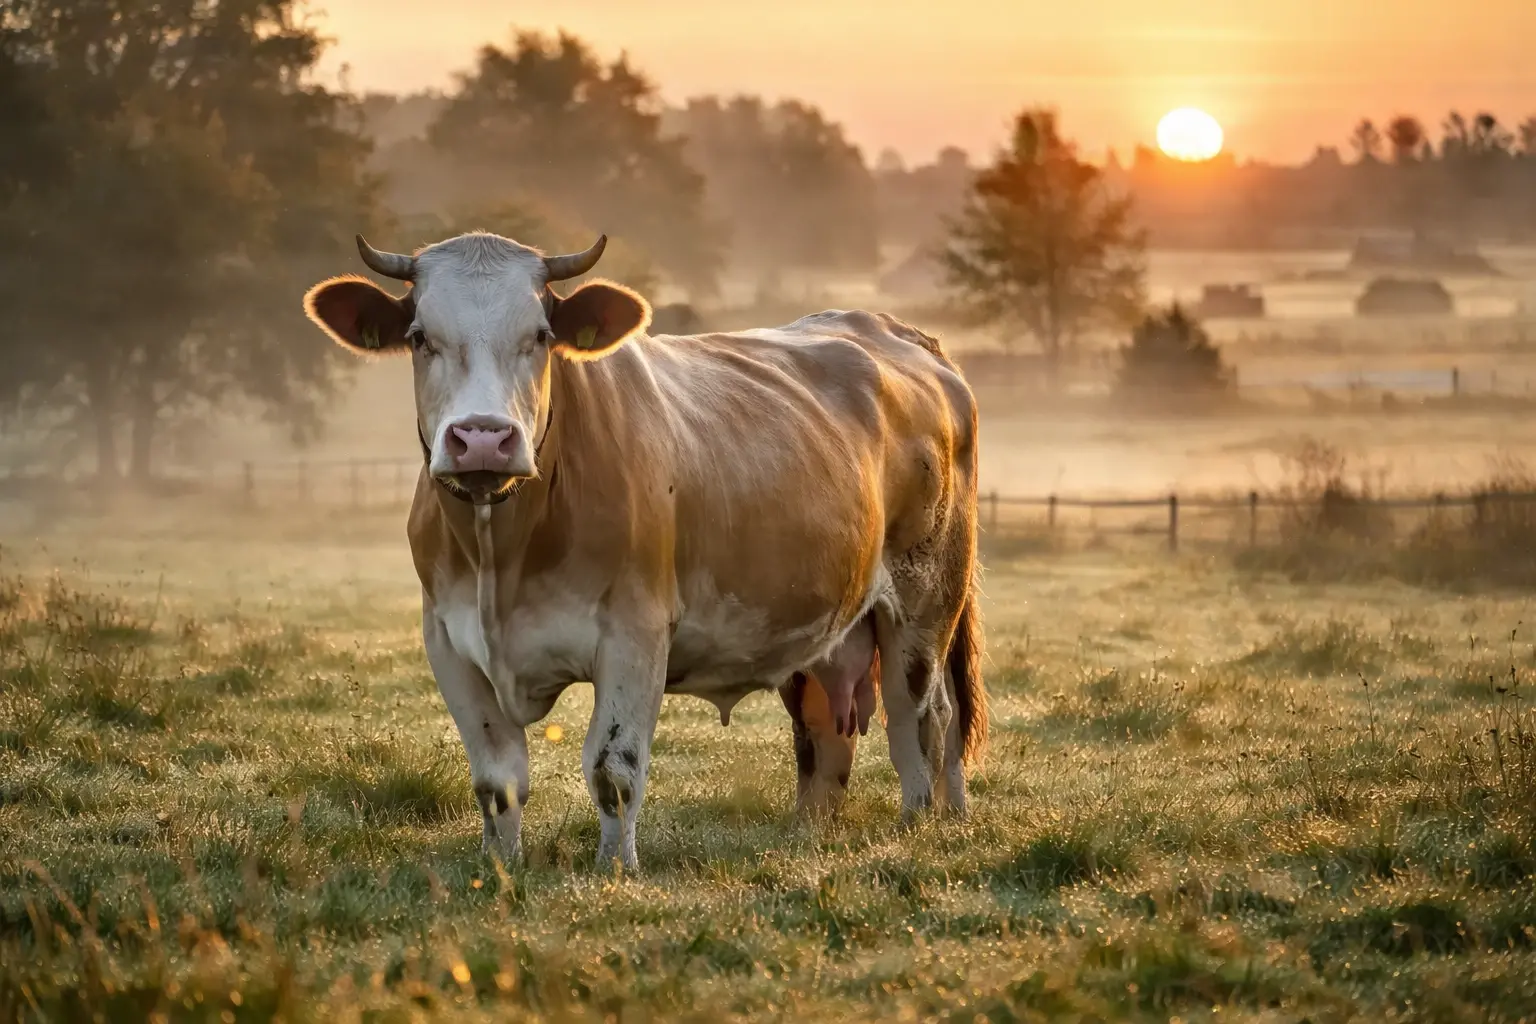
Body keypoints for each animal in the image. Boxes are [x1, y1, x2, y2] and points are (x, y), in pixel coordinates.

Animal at [302, 231, 987, 871]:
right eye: (420, 337)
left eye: (541, 335)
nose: (483, 439)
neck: (504, 555)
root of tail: (897, 333)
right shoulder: (449, 641)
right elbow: (498, 782)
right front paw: (501, 869)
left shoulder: (635, 634)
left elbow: (613, 768)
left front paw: (615, 870)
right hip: (823, 621)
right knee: (825, 734)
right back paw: (811, 836)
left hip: (924, 604)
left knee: (923, 717)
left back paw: (922, 820)